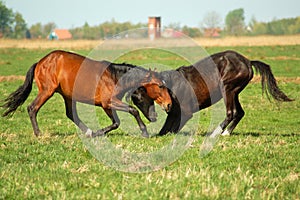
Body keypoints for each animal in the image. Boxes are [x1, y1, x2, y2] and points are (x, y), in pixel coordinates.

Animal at [1, 50, 171, 138]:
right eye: (160, 86)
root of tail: (40, 62)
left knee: (71, 114)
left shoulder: (107, 105)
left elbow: (116, 122)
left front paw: (96, 132)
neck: (114, 76)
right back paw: (38, 134)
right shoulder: (108, 102)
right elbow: (132, 111)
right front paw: (144, 131)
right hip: (47, 91)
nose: (169, 105)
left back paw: (88, 131)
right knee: (32, 108)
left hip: (67, 96)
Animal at [129, 50, 292, 137]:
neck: (171, 86)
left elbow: (171, 130)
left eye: (140, 96)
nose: (152, 117)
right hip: (234, 92)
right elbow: (165, 129)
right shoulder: (174, 112)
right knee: (240, 112)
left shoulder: (185, 113)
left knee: (231, 112)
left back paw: (215, 133)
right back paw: (226, 133)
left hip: (227, 89)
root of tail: (248, 62)